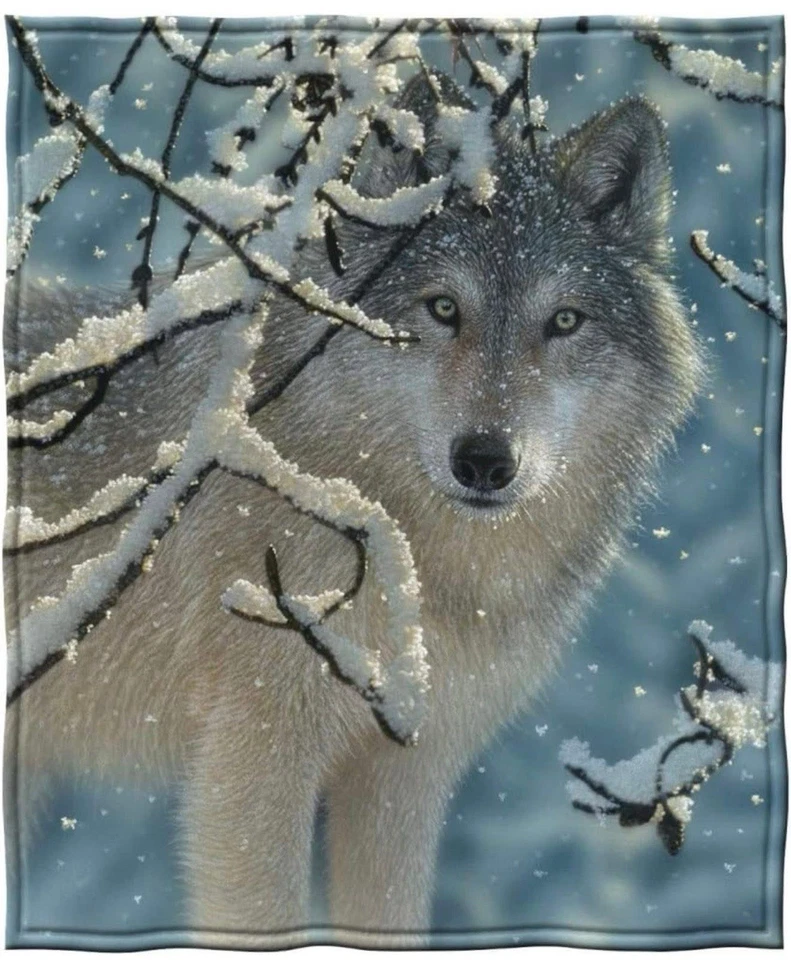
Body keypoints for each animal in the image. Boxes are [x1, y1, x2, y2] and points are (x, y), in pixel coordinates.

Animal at [4, 72, 701, 947]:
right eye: (442, 309)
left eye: (564, 321)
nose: (485, 460)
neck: (417, 562)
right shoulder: (254, 757)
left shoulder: (405, 772)